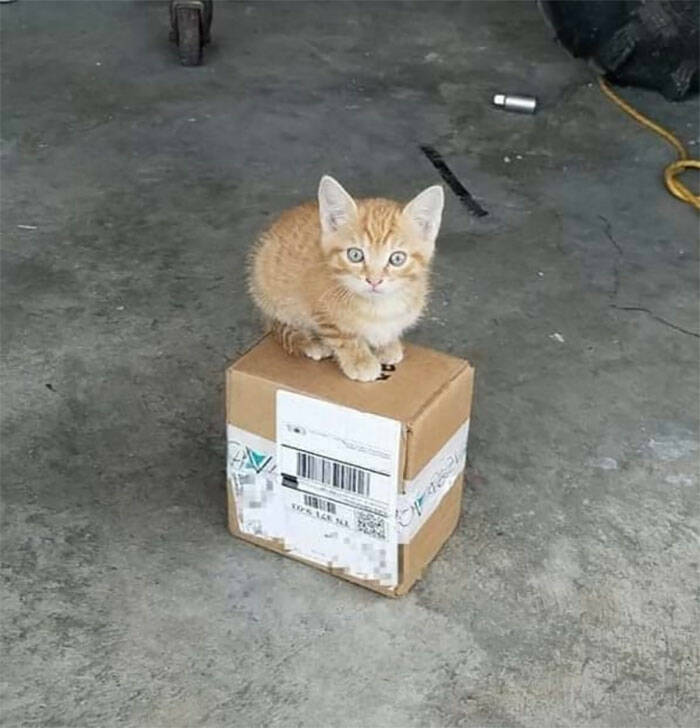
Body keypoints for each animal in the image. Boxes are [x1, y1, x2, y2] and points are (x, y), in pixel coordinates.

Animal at [250, 176, 442, 382]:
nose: (374, 280)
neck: (377, 307)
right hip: (267, 286)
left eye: (397, 258)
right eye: (355, 255)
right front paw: (360, 361)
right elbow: (342, 336)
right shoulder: (321, 310)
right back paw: (311, 342)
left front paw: (387, 344)